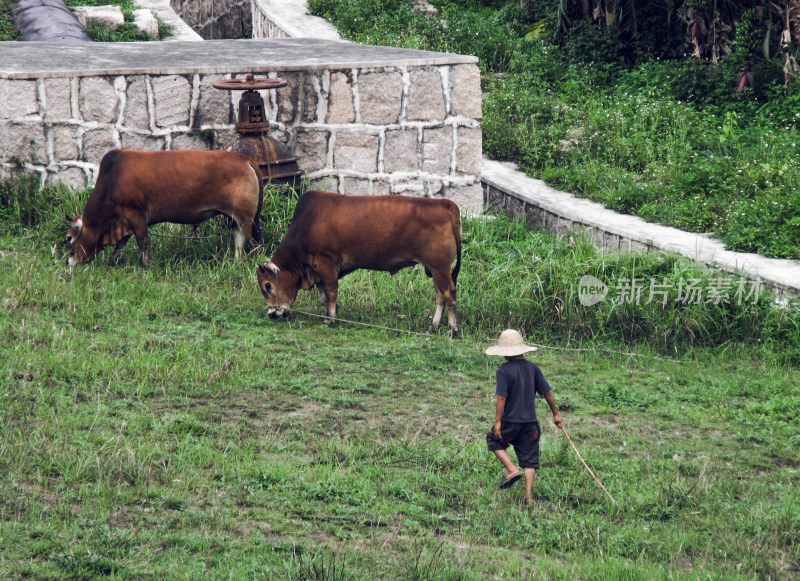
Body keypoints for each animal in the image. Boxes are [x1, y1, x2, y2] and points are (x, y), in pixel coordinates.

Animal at [66, 148, 262, 268]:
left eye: (69, 238)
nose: (69, 261)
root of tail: (245, 159)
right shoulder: (125, 221)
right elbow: (121, 245)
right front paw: (112, 263)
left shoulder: (135, 215)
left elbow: (142, 241)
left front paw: (145, 266)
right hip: (234, 219)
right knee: (240, 241)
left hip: (245, 219)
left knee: (249, 242)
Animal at [260, 190, 462, 336]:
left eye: (268, 285)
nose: (271, 314)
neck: (306, 225)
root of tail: (443, 203)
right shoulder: (318, 272)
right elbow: (324, 296)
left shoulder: (327, 265)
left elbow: (331, 294)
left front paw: (330, 320)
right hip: (435, 270)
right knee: (440, 297)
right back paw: (433, 326)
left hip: (440, 268)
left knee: (449, 294)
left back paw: (453, 329)